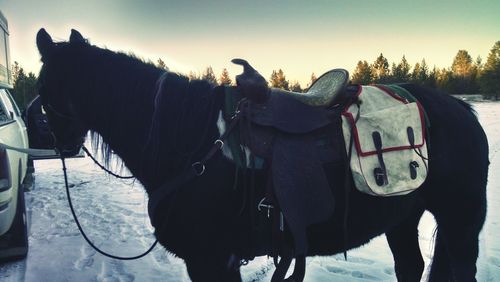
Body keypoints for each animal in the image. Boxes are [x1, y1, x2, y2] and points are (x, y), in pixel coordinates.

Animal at [35, 29, 488, 282]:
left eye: (42, 84)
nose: (56, 142)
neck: (190, 142)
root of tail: (462, 111)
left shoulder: (211, 260)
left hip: (461, 222)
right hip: (402, 217)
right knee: (410, 267)